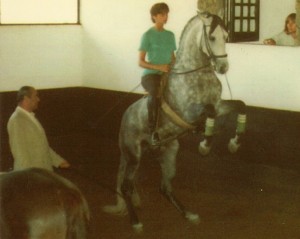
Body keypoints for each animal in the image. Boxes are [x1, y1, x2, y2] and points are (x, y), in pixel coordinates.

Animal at [103, 12, 246, 231]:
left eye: (226, 36)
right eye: (212, 37)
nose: (223, 67)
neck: (196, 74)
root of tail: (125, 117)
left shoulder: (219, 104)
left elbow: (240, 106)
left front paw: (234, 144)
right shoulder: (189, 112)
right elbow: (209, 112)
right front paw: (205, 145)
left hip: (169, 152)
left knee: (165, 187)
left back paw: (189, 214)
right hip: (133, 155)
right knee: (126, 186)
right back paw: (136, 222)